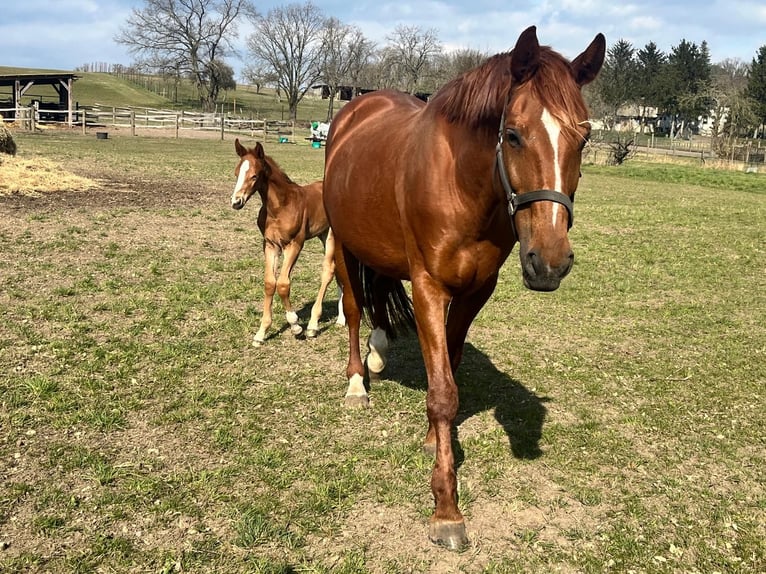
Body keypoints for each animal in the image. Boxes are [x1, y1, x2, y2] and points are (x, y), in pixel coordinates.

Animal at [231, 140, 344, 346]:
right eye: (236, 173)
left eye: (254, 176)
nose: (236, 202)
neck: (280, 207)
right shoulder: (270, 245)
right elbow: (270, 283)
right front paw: (261, 333)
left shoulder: (295, 244)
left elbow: (283, 284)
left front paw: (296, 325)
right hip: (323, 235)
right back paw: (341, 319)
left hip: (332, 236)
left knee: (328, 271)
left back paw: (313, 326)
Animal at [322, 25, 608, 548]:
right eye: (513, 135)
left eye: (584, 137)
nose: (550, 263)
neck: (462, 184)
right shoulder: (429, 288)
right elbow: (442, 393)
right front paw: (446, 509)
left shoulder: (476, 292)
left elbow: (450, 371)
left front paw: (435, 439)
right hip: (345, 245)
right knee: (353, 309)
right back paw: (357, 381)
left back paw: (378, 351)